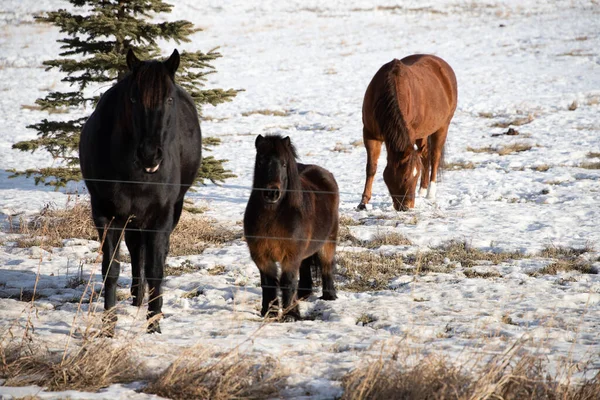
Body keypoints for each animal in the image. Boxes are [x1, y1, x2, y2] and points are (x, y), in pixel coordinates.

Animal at [79, 49, 203, 334]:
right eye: (134, 98)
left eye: (169, 99)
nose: (149, 155)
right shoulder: (106, 215)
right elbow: (111, 268)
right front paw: (109, 325)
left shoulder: (161, 215)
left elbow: (157, 268)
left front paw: (154, 324)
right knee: (136, 249)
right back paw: (137, 298)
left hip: (171, 211)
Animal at [243, 134, 338, 322]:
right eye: (261, 160)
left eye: (284, 164)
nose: (272, 193)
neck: (273, 217)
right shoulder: (262, 256)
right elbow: (269, 284)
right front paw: (269, 312)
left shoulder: (290, 256)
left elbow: (287, 283)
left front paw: (290, 315)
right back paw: (303, 295)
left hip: (328, 241)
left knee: (326, 266)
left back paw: (329, 296)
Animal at [356, 54, 460, 211]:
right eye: (405, 177)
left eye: (414, 177)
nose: (407, 206)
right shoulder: (370, 135)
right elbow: (371, 168)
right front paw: (363, 203)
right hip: (423, 132)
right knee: (425, 154)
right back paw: (423, 190)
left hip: (443, 126)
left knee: (435, 156)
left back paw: (430, 193)